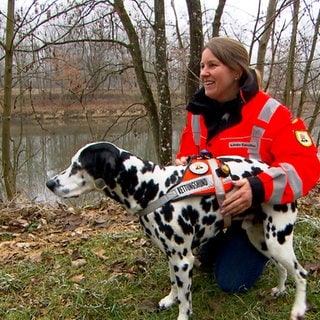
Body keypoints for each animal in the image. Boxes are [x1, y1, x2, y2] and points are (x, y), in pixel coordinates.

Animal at [45, 142, 308, 320]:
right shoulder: (171, 256)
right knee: (282, 268)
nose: (49, 183)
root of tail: (275, 174)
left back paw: (298, 308)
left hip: (277, 240)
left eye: (78, 166)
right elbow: (174, 285)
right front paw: (169, 300)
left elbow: (186, 299)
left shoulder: (183, 259)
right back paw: (280, 290)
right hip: (261, 240)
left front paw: (181, 312)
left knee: (301, 273)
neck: (153, 188)